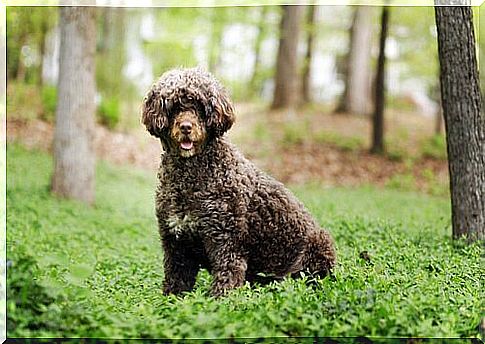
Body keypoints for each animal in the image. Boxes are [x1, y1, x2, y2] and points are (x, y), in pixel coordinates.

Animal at [142, 67, 334, 296]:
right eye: (174, 106)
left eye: (199, 106)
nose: (186, 127)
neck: (189, 175)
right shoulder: (176, 242)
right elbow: (176, 278)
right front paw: (171, 297)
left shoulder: (225, 239)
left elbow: (227, 275)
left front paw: (220, 298)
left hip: (320, 243)